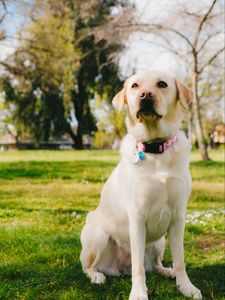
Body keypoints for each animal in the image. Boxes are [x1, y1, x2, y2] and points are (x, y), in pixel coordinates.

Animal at [79, 71, 202, 300]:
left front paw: (186, 286)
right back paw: (97, 276)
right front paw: (138, 293)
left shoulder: (178, 216)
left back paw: (167, 271)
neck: (156, 149)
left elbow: (180, 260)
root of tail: (120, 269)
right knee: (90, 267)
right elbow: (138, 268)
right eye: (135, 86)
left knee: (155, 264)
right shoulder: (136, 216)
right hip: (98, 235)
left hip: (159, 242)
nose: (145, 95)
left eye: (162, 84)